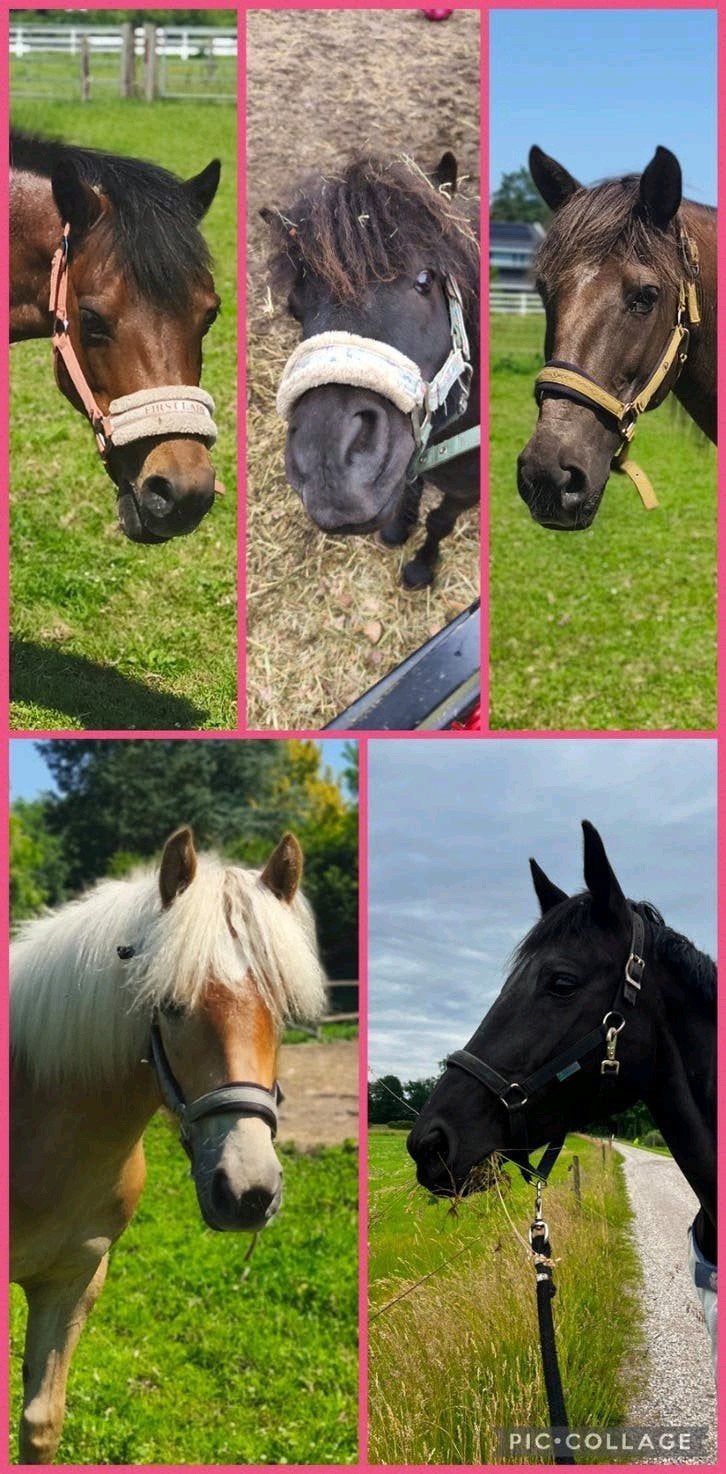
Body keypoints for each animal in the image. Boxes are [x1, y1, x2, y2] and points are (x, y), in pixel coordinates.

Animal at [261, 151, 480, 589]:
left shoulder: (466, 494)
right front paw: (399, 528)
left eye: (425, 279)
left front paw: (421, 566)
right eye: (295, 306)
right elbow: (411, 488)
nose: (328, 469)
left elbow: (440, 522)